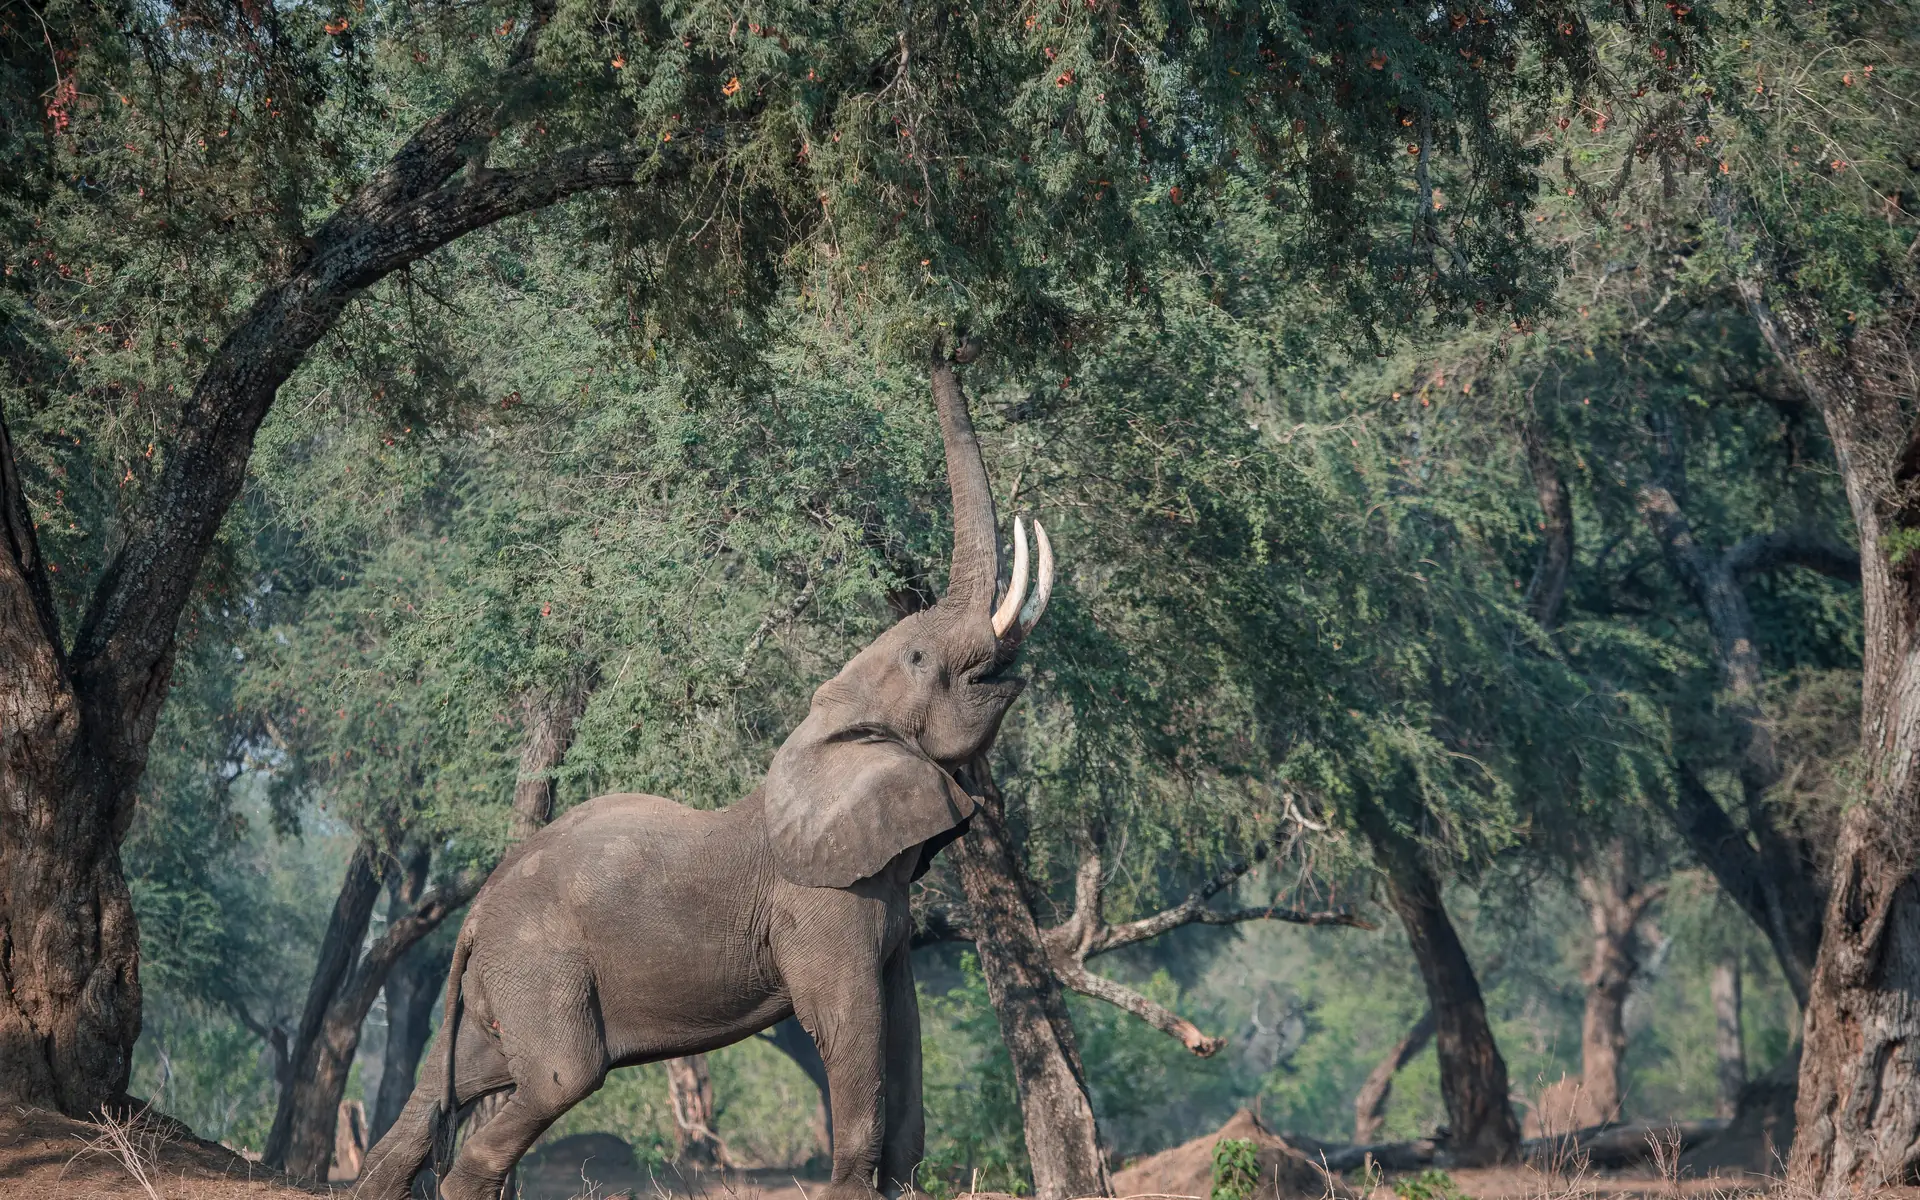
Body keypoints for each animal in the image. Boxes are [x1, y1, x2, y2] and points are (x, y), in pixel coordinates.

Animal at [355, 347, 1055, 1200]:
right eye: (920, 659)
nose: (943, 345)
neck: (826, 728)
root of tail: (476, 916)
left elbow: (903, 1022)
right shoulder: (820, 904)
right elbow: (850, 1023)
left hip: (499, 982)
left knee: (438, 1094)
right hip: (539, 964)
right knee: (558, 1079)